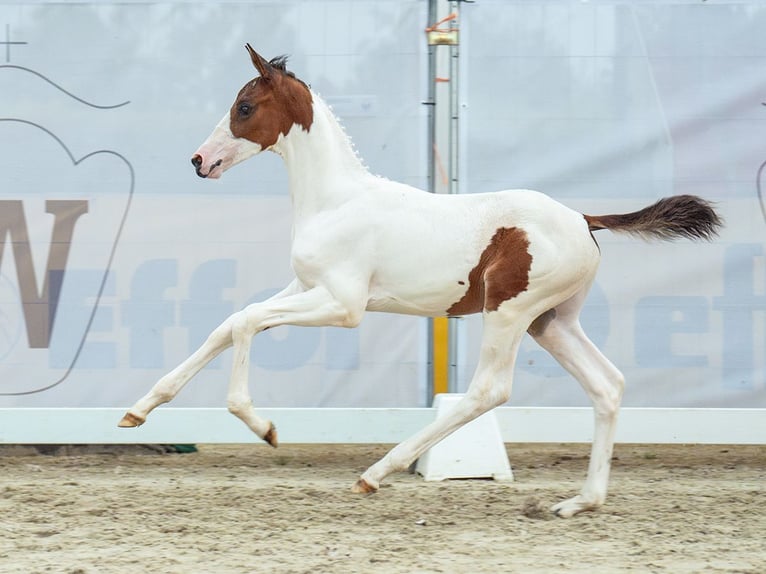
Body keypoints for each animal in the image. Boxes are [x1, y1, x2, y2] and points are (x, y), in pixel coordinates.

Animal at [118, 45, 720, 520]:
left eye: (244, 107)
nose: (200, 160)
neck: (336, 199)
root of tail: (583, 219)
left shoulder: (344, 305)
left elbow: (245, 322)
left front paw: (262, 426)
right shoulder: (304, 287)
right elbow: (230, 323)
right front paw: (138, 410)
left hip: (509, 312)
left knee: (488, 391)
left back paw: (378, 471)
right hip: (551, 322)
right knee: (607, 385)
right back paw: (579, 502)